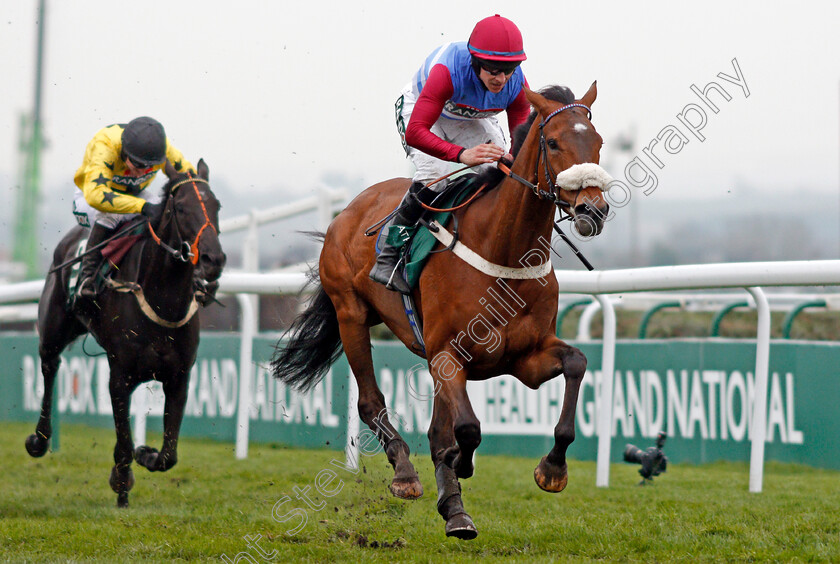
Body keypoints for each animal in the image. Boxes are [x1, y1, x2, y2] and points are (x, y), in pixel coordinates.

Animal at [25, 159, 226, 506]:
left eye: (216, 205)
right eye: (182, 208)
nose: (215, 260)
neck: (163, 301)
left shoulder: (179, 377)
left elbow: (169, 455)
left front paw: (146, 453)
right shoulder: (119, 376)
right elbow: (123, 441)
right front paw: (122, 482)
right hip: (52, 330)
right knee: (50, 368)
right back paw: (39, 439)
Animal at [274, 83, 612, 536]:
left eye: (598, 142)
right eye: (554, 142)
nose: (594, 209)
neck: (503, 250)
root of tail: (349, 210)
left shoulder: (527, 358)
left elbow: (576, 363)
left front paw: (553, 469)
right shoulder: (448, 354)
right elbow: (467, 429)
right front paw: (460, 465)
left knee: (436, 431)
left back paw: (455, 511)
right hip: (351, 315)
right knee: (371, 402)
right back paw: (405, 474)